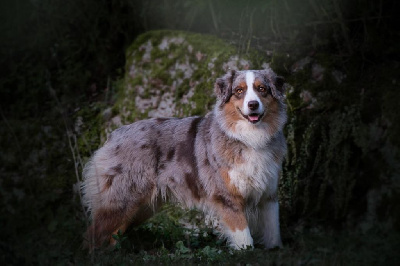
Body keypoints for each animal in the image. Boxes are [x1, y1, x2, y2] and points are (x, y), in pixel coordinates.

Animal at [82, 68, 288, 249]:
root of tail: (114, 134)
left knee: (113, 233)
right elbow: (244, 237)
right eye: (239, 91)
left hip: (141, 207)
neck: (250, 138)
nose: (253, 105)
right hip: (121, 199)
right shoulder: (227, 196)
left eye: (262, 89)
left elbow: (274, 230)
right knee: (93, 233)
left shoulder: (269, 194)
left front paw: (274, 250)